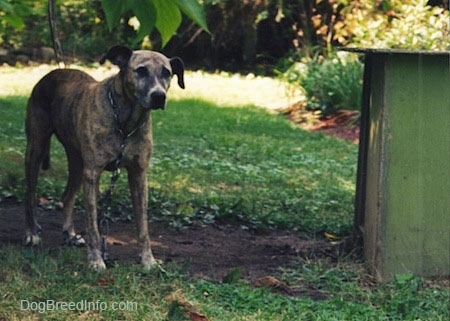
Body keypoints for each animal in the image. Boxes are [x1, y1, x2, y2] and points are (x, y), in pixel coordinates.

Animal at [23, 45, 185, 268]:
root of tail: (51, 74)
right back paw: (32, 232)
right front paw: (96, 260)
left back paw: (70, 234)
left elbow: (143, 225)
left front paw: (148, 260)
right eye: (141, 70)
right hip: (36, 149)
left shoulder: (138, 175)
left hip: (77, 162)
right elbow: (93, 224)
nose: (159, 96)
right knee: (29, 195)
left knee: (67, 196)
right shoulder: (93, 174)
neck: (126, 122)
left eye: (166, 72)